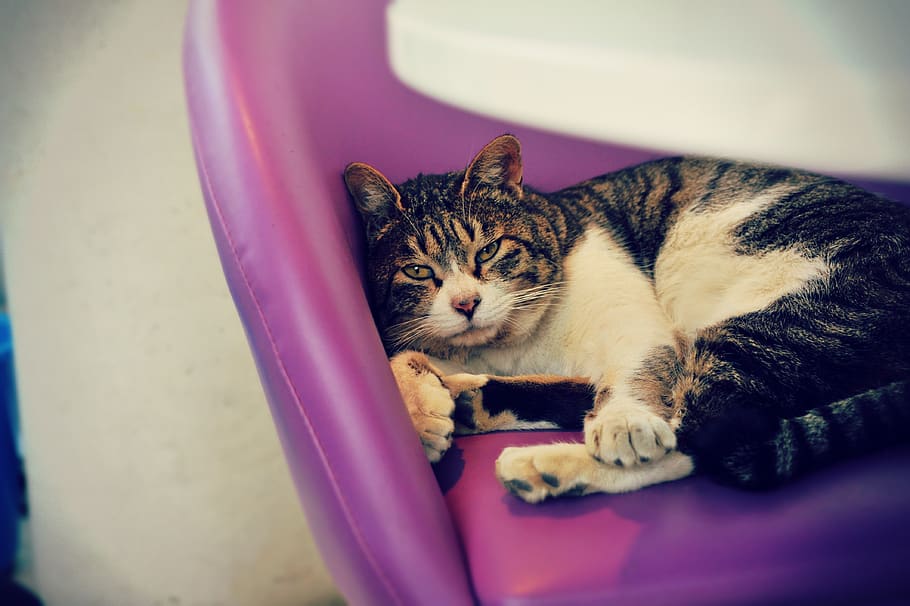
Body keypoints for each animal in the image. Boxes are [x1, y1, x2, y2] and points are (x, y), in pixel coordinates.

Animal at [344, 135, 910, 506]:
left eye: (488, 250)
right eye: (419, 270)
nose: (465, 303)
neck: (517, 344)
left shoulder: (637, 328)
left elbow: (636, 379)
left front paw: (624, 424)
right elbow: (401, 354)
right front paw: (424, 413)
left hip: (768, 328)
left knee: (706, 436)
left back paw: (547, 463)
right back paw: (478, 410)